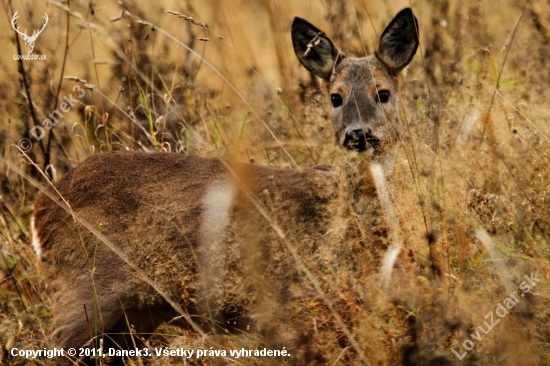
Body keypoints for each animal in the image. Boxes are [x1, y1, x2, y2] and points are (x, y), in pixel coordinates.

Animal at [32, 8, 420, 366]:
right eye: (336, 97)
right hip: (85, 289)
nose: (358, 133)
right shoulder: (290, 303)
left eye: (383, 93)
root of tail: (42, 205)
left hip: (131, 320)